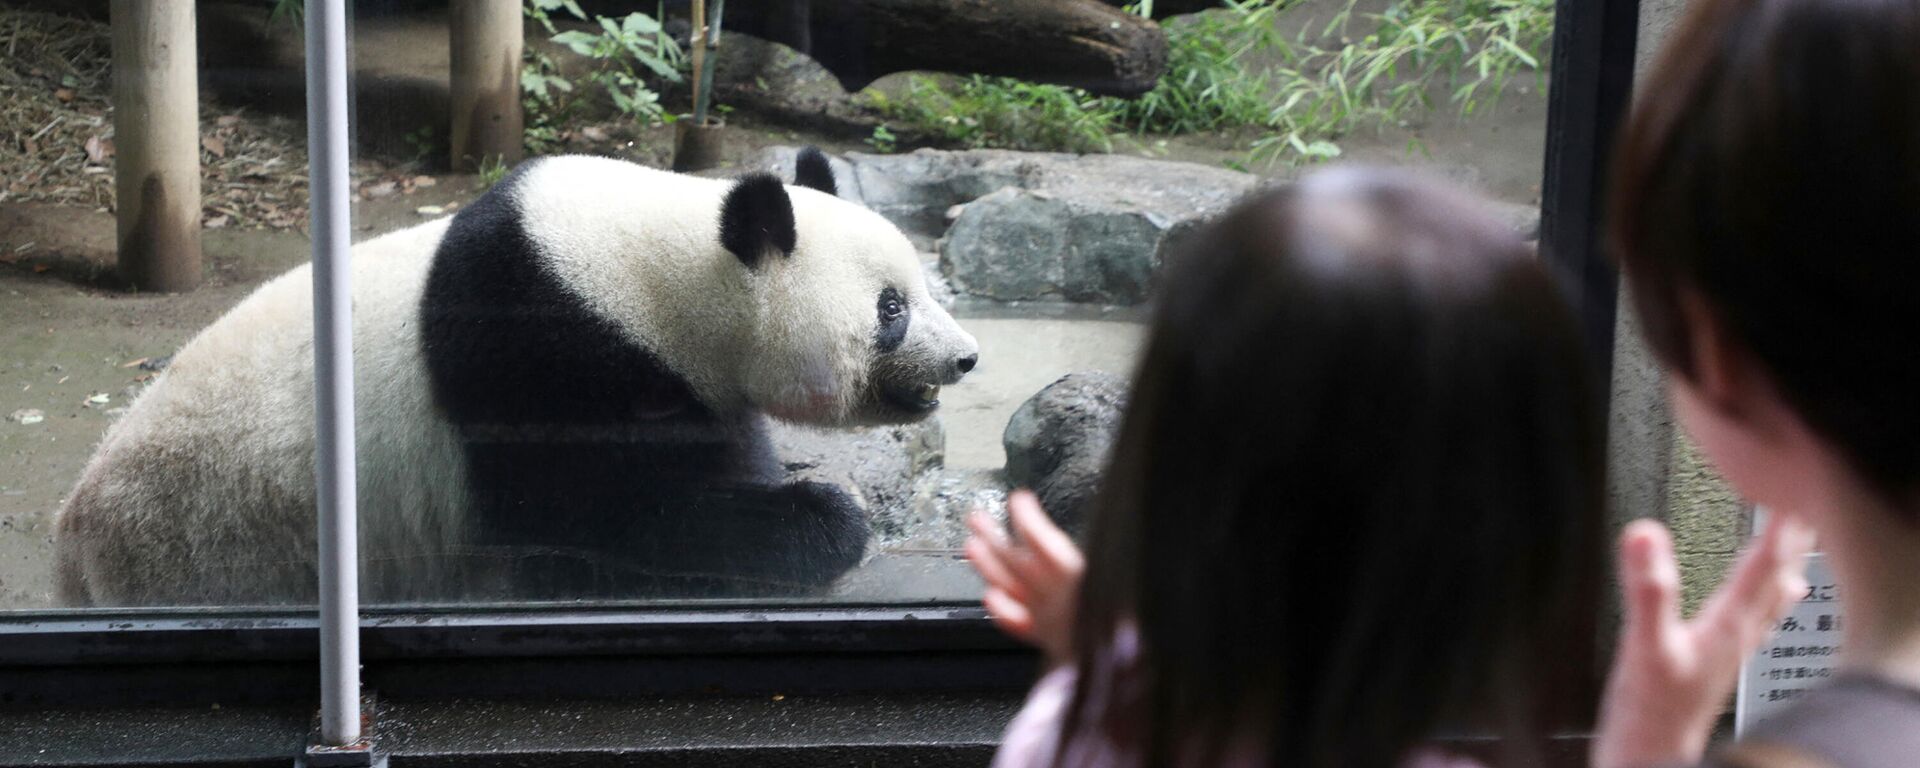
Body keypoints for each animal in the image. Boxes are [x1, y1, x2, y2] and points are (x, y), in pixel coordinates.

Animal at [52, 148, 983, 606]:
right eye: (891, 308)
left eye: (922, 285)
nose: (966, 357)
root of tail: (73, 534)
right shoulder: (540, 358)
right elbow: (609, 529)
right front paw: (822, 518)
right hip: (204, 539)